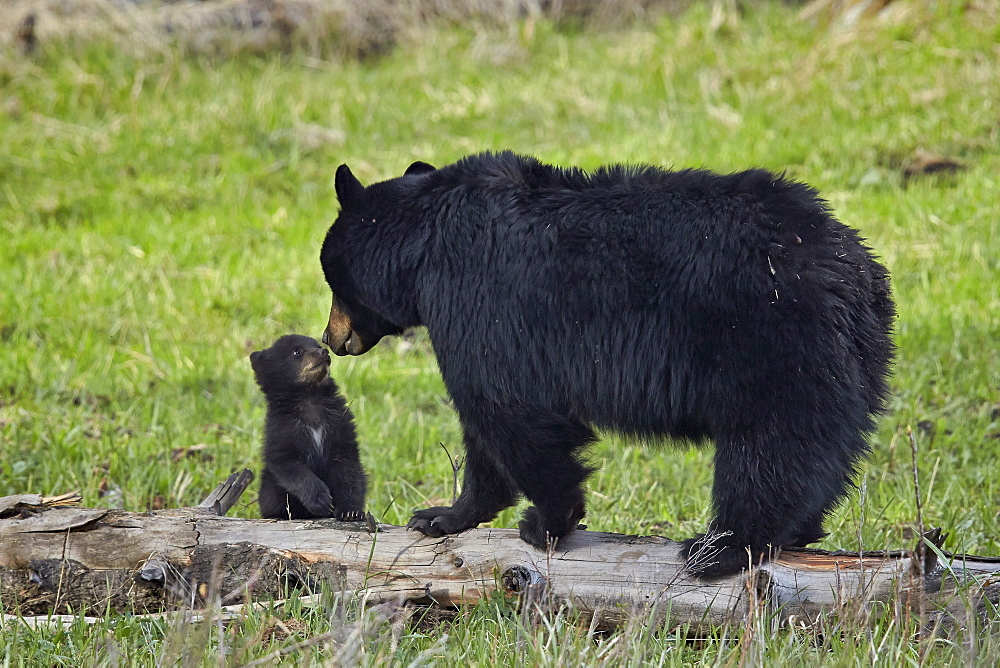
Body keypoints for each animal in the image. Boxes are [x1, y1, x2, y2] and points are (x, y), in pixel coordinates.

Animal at [250, 334, 368, 520]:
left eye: (316, 345)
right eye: (297, 351)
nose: (324, 352)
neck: (310, 397)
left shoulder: (339, 423)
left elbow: (347, 466)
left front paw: (350, 511)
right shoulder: (282, 430)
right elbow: (289, 465)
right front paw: (322, 501)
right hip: (269, 484)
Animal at [318, 150, 892, 576]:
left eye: (332, 281)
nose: (330, 338)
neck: (425, 244)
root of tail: (851, 271)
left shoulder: (479, 303)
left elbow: (508, 410)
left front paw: (546, 522)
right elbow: (491, 425)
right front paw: (443, 516)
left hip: (770, 342)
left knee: (771, 446)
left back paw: (719, 548)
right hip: (857, 359)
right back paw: (799, 530)